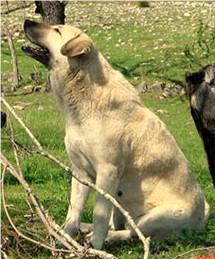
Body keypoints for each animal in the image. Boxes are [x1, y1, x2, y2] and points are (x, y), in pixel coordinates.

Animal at [22, 19, 209, 251]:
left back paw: (109, 237)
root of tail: (203, 218)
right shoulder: (80, 173)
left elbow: (99, 215)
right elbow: (73, 213)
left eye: (56, 30)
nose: (26, 21)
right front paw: (63, 240)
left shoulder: (107, 172)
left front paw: (95, 246)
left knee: (135, 233)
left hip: (153, 217)